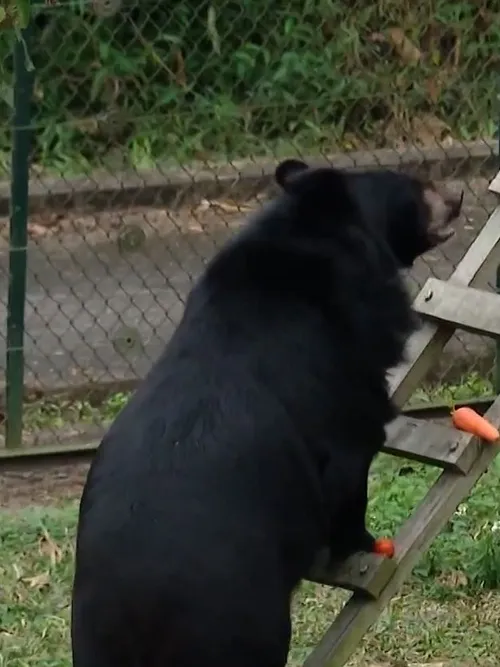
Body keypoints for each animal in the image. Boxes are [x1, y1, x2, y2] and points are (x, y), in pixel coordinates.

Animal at [71, 159, 462, 667]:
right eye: (416, 187)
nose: (457, 197)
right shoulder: (342, 388)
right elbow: (351, 466)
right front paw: (362, 543)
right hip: (244, 620)